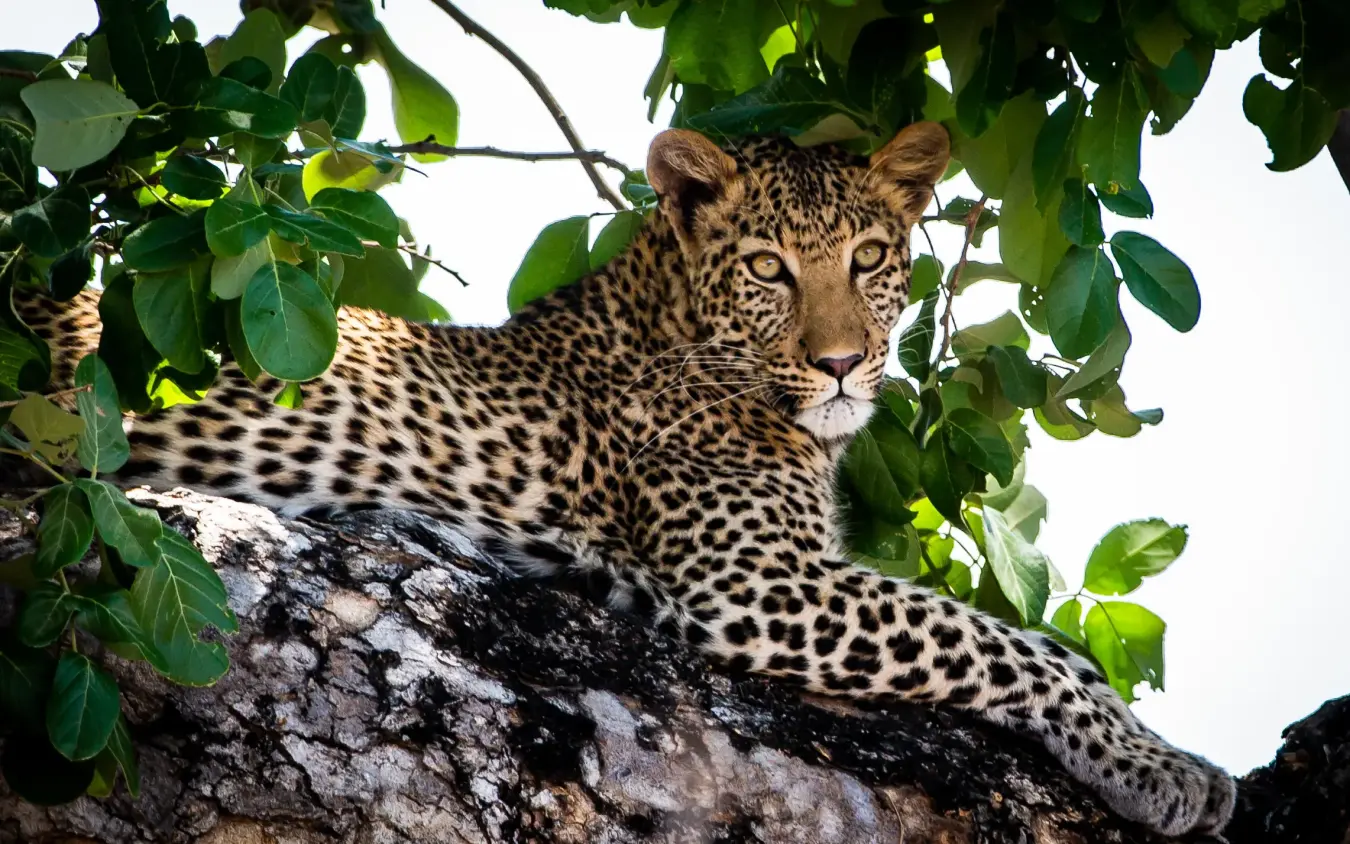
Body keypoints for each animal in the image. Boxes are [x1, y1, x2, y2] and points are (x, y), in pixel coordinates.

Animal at [17, 122, 1235, 836]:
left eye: (869, 260)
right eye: (769, 269)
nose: (844, 362)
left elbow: (1019, 643)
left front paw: (1152, 753)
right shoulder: (756, 585)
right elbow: (1007, 645)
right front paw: (1161, 766)